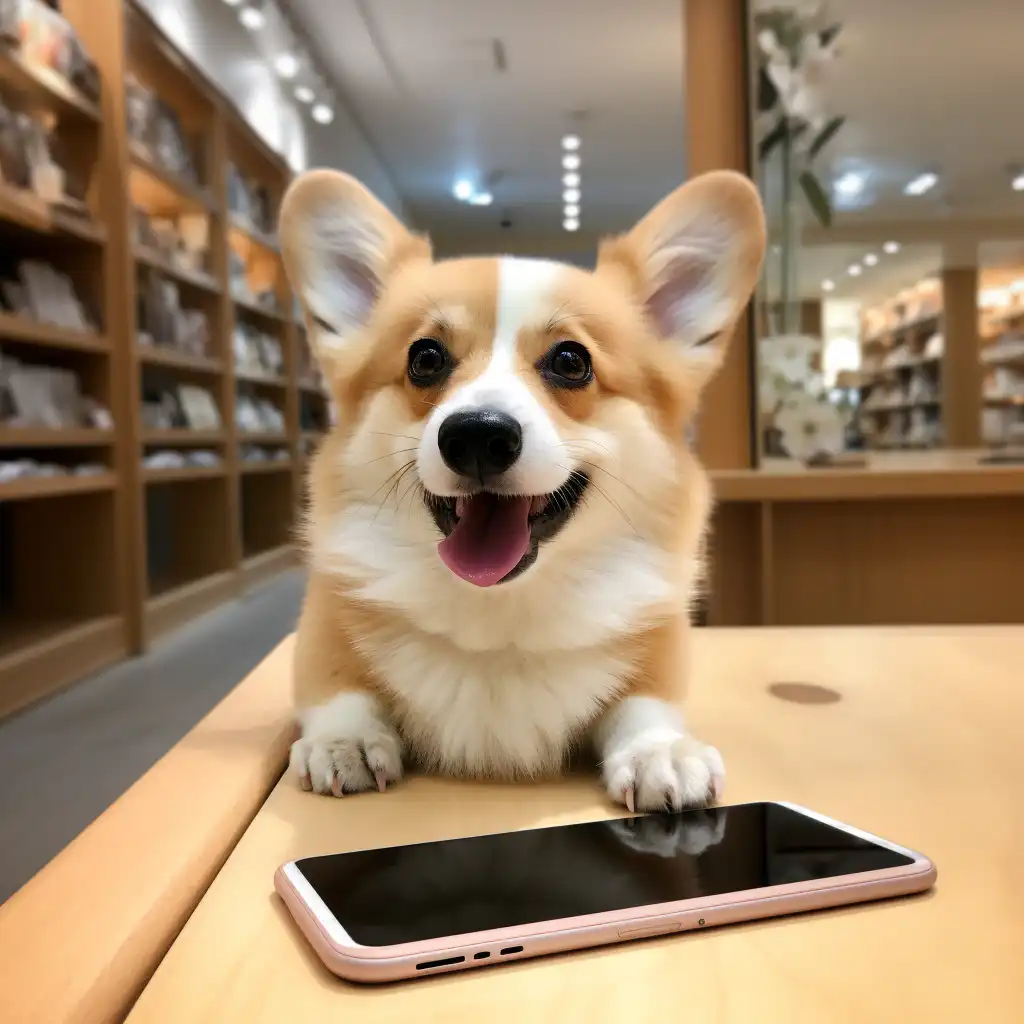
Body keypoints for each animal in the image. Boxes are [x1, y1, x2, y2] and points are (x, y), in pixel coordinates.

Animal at [282, 167, 770, 811]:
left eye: (571, 361)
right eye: (425, 358)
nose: (477, 436)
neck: (501, 613)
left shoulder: (659, 642)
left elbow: (646, 702)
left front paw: (659, 750)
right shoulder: (323, 624)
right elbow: (337, 688)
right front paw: (345, 740)